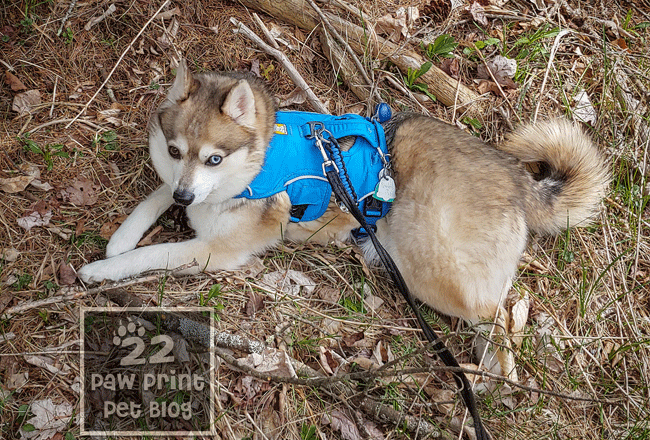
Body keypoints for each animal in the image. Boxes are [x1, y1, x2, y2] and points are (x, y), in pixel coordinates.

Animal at [78, 59, 612, 374]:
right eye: (174, 150)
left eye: (214, 158)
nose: (187, 195)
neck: (261, 161)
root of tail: (516, 176)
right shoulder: (182, 191)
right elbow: (153, 197)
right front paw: (121, 237)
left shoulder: (213, 251)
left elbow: (155, 253)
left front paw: (104, 269)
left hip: (434, 272)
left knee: (503, 316)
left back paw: (497, 378)